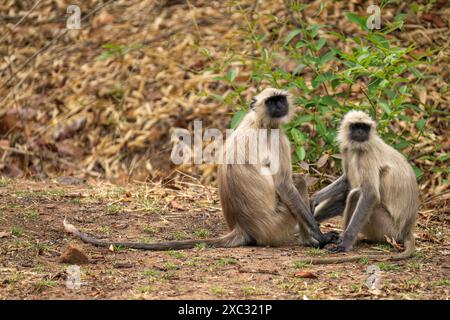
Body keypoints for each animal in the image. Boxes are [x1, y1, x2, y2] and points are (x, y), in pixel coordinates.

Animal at [63, 87, 338, 250]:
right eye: (272, 102)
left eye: (280, 99)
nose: (280, 106)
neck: (259, 122)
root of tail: (243, 228)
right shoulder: (278, 137)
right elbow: (284, 184)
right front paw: (320, 235)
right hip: (276, 223)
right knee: (297, 183)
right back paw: (311, 241)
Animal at [306, 111, 418, 264]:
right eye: (356, 126)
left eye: (364, 127)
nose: (360, 132)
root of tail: (406, 230)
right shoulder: (347, 150)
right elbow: (347, 180)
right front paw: (314, 199)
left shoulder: (367, 154)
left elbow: (370, 194)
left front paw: (345, 244)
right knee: (346, 195)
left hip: (388, 230)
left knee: (356, 194)